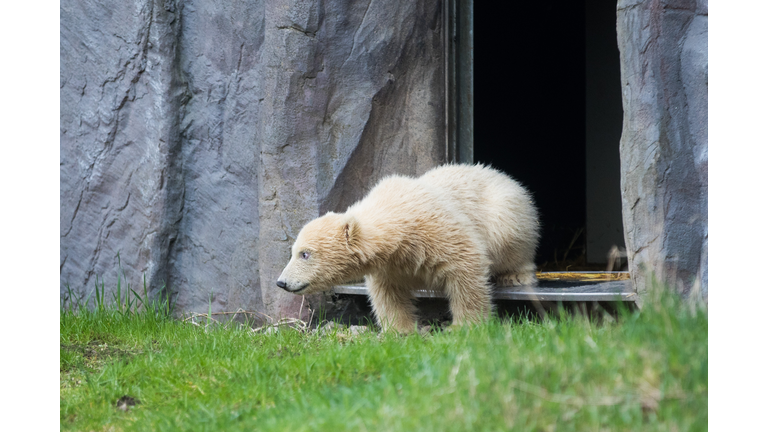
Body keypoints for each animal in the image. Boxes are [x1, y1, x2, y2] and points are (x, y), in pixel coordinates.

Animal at [276, 164, 540, 333]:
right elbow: (388, 294)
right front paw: (400, 331)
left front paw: (464, 325)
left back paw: (515, 275)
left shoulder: (436, 228)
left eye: (305, 253)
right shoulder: (388, 265)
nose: (281, 282)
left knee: (510, 237)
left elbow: (466, 265)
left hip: (505, 211)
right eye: (293, 252)